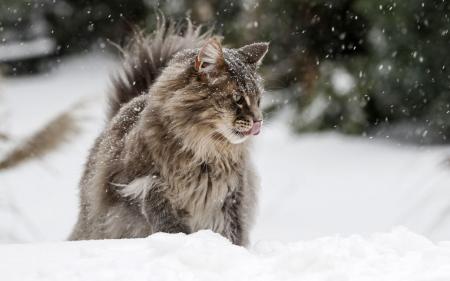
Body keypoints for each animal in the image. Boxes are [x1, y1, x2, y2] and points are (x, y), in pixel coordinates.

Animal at [68, 20, 268, 245]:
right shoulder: (132, 184)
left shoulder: (232, 199)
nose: (258, 121)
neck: (205, 154)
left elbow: (233, 235)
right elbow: (156, 199)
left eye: (258, 100)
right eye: (238, 98)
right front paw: (178, 235)